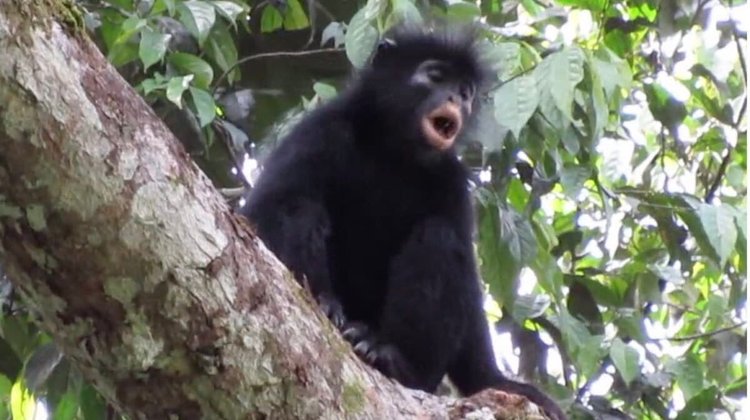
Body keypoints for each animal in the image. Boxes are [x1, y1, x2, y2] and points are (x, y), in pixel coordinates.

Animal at [242, 26, 567, 420]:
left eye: (465, 92)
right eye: (436, 76)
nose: (456, 98)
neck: (394, 151)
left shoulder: (451, 181)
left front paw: (493, 380)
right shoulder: (319, 129)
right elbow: (266, 209)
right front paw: (322, 299)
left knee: (440, 237)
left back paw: (392, 359)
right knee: (298, 205)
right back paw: (325, 303)